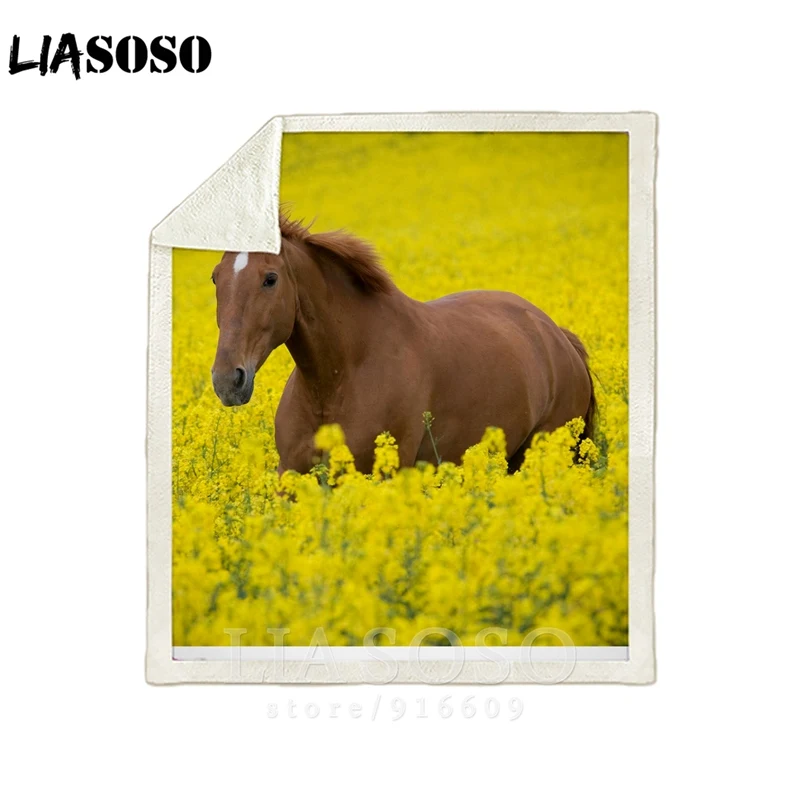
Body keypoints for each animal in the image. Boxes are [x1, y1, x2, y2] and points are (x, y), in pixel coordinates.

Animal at [210, 215, 596, 474]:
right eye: (216, 277)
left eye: (270, 278)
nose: (228, 380)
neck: (338, 380)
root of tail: (557, 335)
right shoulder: (291, 475)